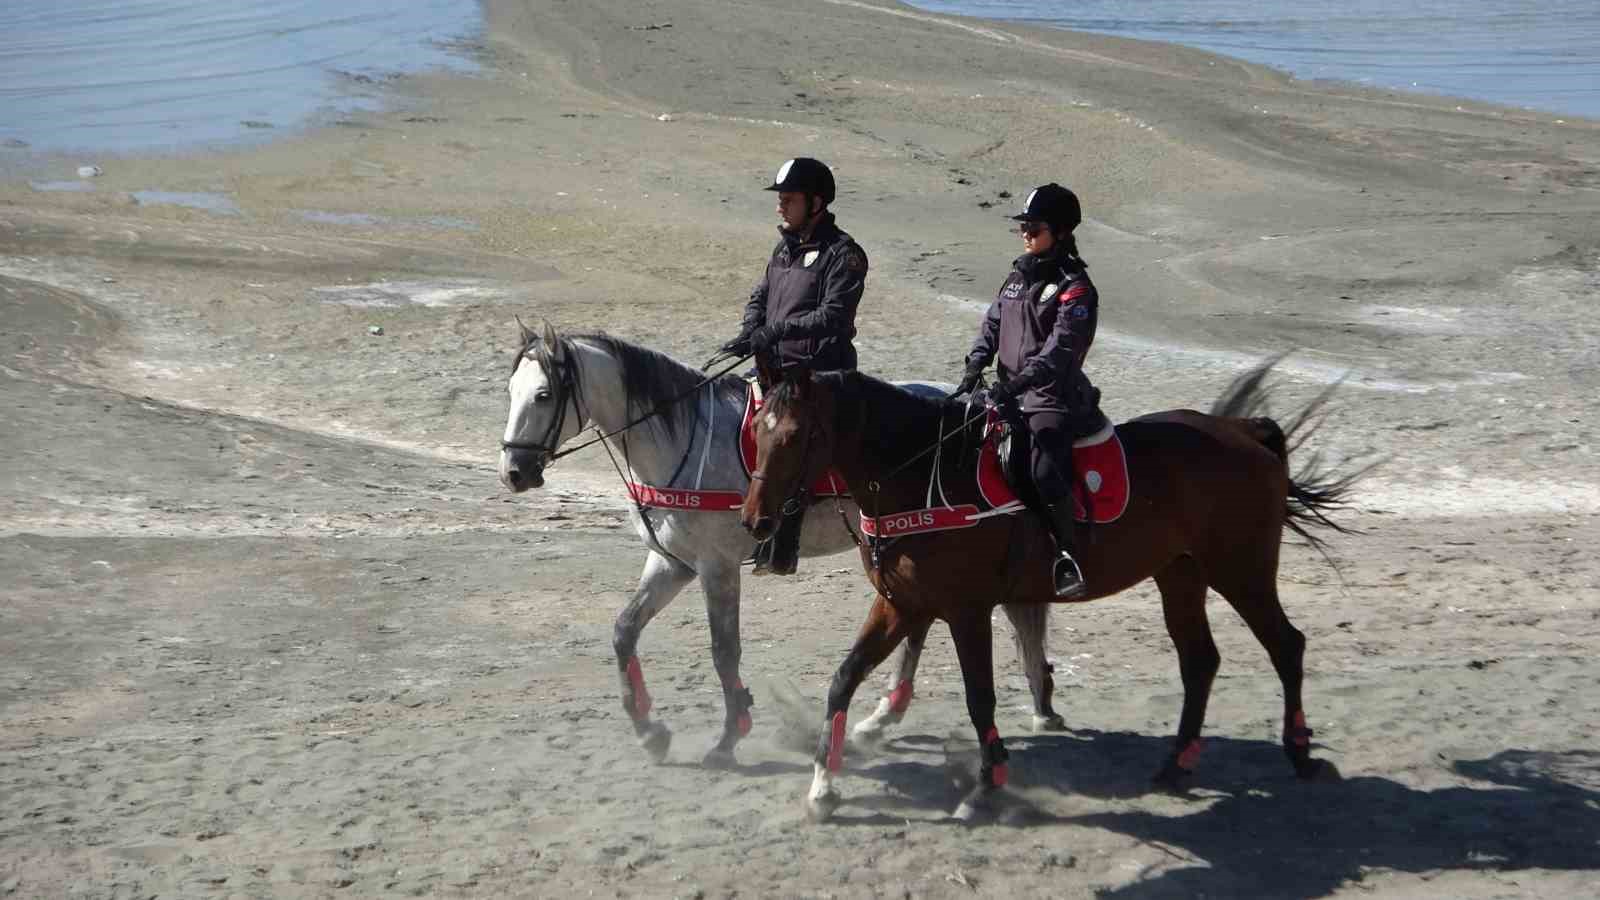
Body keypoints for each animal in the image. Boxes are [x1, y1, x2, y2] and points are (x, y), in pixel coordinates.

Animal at [492, 318, 1056, 759]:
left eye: (543, 395)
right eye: (510, 392)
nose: (514, 472)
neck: (680, 441)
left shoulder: (717, 568)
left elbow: (724, 650)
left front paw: (729, 735)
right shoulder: (673, 563)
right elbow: (623, 631)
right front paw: (650, 730)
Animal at [742, 358, 1356, 819]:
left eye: (796, 436)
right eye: (756, 432)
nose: (755, 520)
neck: (924, 476)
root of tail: (1245, 432)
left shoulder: (966, 610)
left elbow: (979, 696)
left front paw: (988, 783)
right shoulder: (901, 604)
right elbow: (843, 679)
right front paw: (823, 787)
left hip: (1241, 570)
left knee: (1286, 645)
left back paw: (1300, 753)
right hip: (1181, 574)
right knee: (1200, 661)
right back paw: (1175, 765)